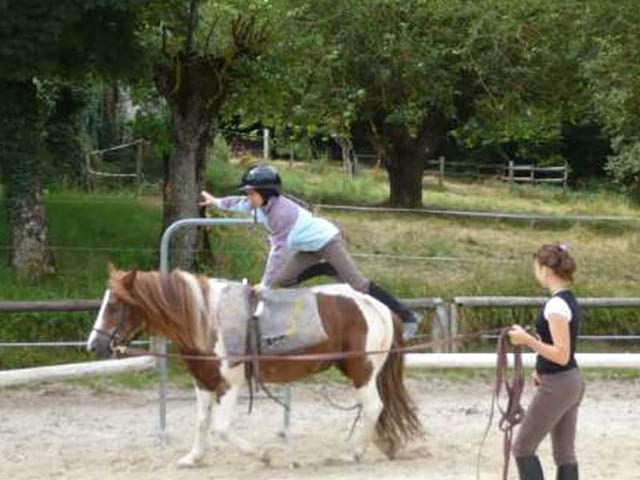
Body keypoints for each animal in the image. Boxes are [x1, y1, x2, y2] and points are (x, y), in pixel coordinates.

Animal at [86, 264, 424, 466]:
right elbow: (202, 421)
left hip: (362, 371)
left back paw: (351, 452)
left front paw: (262, 454)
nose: (94, 345)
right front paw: (194, 457)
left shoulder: (230, 385)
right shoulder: (203, 381)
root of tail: (380, 307)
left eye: (114, 305)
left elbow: (221, 427)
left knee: (374, 407)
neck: (208, 318)